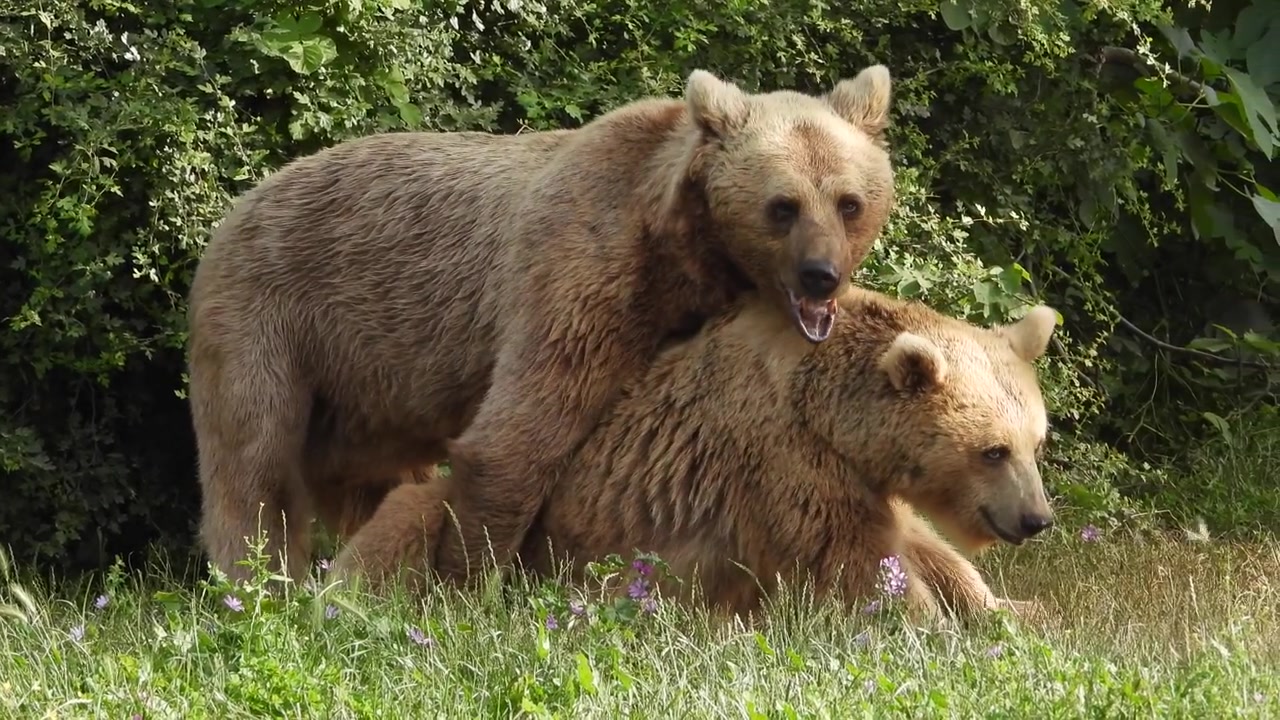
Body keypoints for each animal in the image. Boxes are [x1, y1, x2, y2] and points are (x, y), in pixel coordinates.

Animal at [187, 65, 897, 585]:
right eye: (783, 206)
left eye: (849, 202)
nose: (821, 274)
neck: (680, 254)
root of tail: (240, 205)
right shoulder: (579, 273)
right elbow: (516, 437)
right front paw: (471, 581)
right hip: (270, 314)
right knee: (252, 463)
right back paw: (259, 584)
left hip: (367, 389)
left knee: (362, 476)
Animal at [332, 286, 1059, 622]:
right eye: (992, 451)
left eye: (1036, 443)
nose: (1036, 519)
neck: (824, 404)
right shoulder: (781, 455)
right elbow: (856, 562)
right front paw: (929, 629)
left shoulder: (858, 475)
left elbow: (926, 550)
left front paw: (1011, 610)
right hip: (524, 535)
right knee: (412, 515)